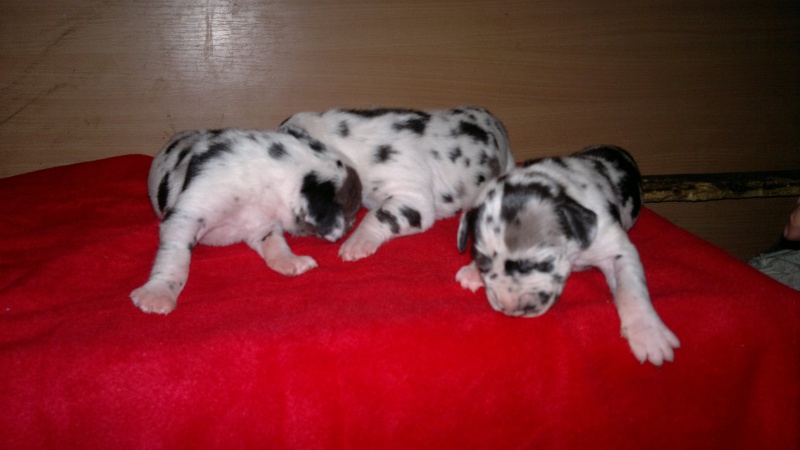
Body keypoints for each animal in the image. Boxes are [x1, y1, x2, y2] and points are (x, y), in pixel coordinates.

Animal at [131, 127, 362, 314]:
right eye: (350, 212)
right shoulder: (185, 218)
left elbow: (275, 244)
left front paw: (290, 262)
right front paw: (158, 295)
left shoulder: (262, 224)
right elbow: (175, 259)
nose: (351, 225)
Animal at [455, 145, 680, 366]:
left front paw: (649, 334)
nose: (509, 308)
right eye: (482, 261)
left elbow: (630, 290)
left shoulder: (617, 248)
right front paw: (472, 272)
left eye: (542, 262)